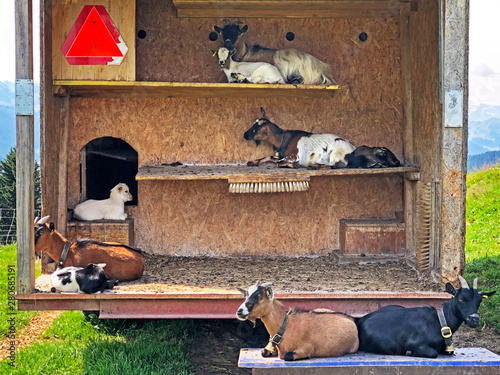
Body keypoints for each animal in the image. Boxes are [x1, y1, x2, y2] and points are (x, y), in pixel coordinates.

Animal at [358, 278, 494, 360]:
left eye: (480, 301)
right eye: (461, 299)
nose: (474, 319)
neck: (440, 322)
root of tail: (360, 320)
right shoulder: (413, 343)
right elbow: (433, 353)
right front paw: (409, 353)